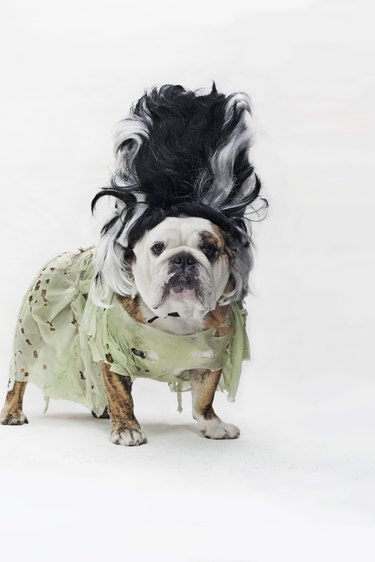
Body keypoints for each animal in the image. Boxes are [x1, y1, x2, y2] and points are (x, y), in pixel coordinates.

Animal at [1, 83, 268, 444]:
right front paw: (127, 428)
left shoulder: (212, 360)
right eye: (157, 247)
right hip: (30, 339)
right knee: (19, 377)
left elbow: (204, 397)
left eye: (210, 248)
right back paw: (13, 412)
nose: (184, 259)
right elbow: (121, 394)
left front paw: (212, 424)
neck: (176, 318)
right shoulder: (111, 354)